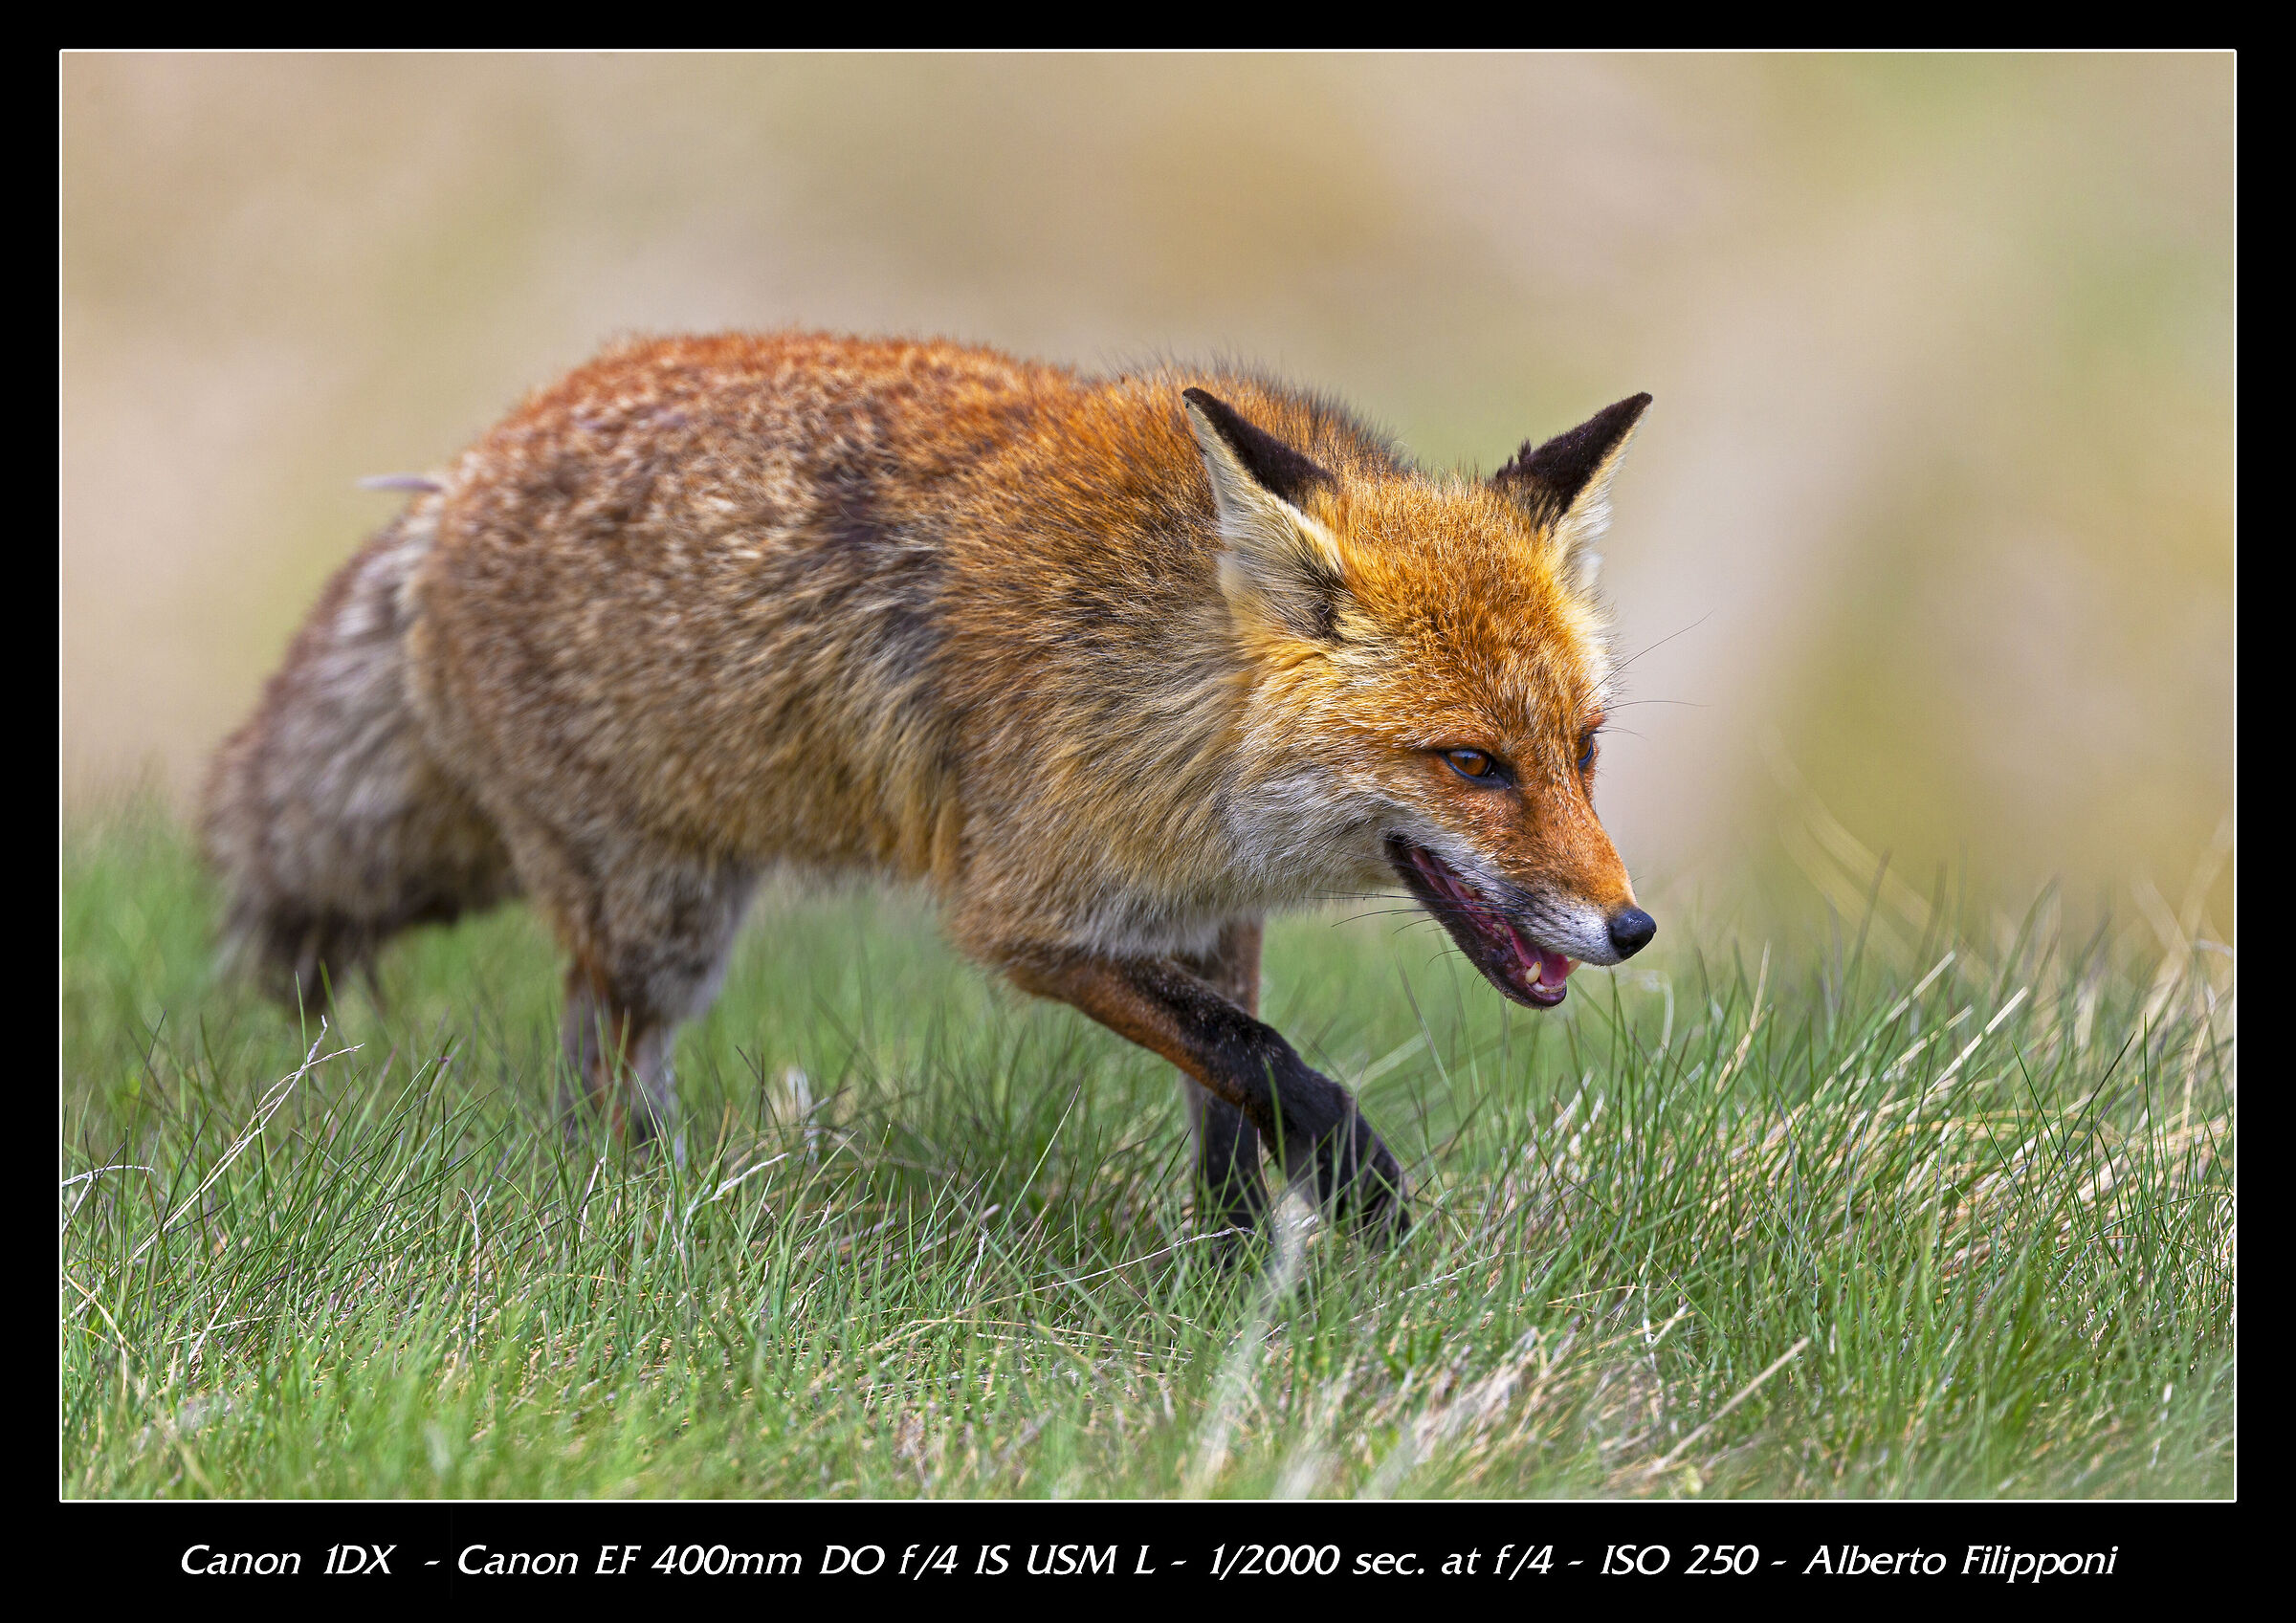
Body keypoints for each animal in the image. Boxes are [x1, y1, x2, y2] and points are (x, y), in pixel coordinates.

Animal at [201, 331, 1658, 1244]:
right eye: (1469, 763)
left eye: (1584, 750)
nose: (1631, 927)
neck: (1176, 705)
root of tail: (452, 480)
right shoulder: (1025, 919)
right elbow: (1266, 1058)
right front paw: (1354, 1182)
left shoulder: (1204, 914)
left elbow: (1229, 1102)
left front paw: (1240, 1272)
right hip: (658, 918)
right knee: (600, 1073)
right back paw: (648, 1206)